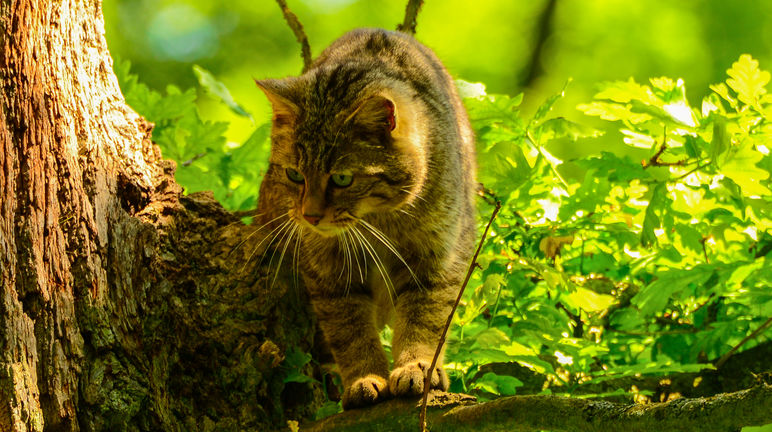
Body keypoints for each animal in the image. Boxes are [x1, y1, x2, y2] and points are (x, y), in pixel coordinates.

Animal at [256, 27, 474, 408]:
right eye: (295, 174)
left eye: (342, 178)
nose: (310, 217)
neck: (379, 222)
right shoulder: (330, 274)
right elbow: (351, 332)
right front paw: (365, 377)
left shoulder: (437, 260)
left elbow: (424, 321)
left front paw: (416, 367)